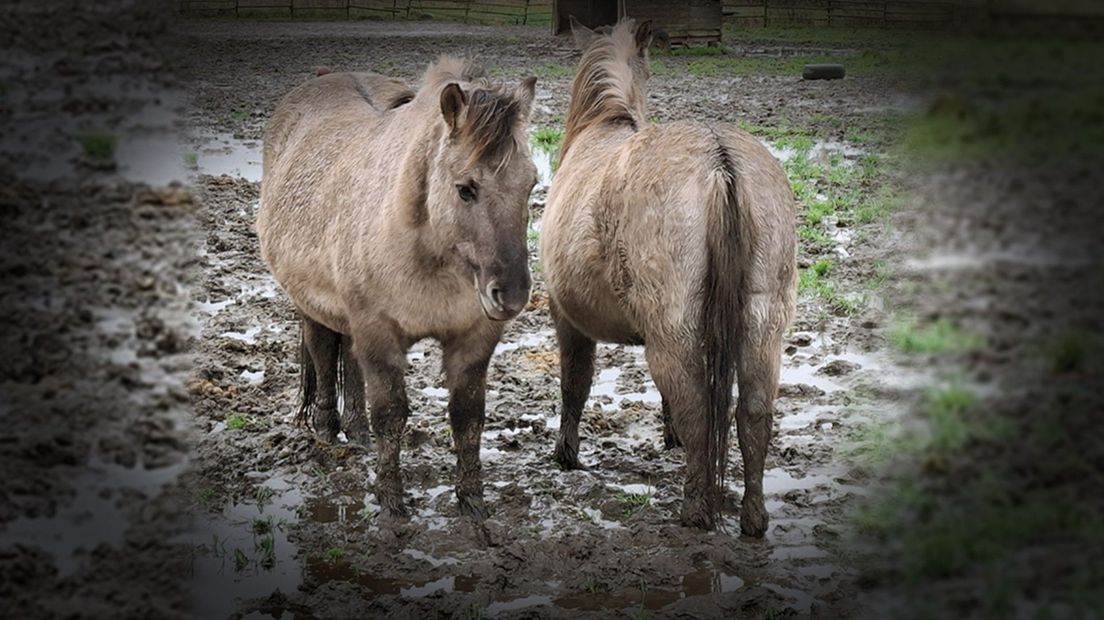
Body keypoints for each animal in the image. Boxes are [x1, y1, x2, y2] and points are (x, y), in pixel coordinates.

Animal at [257, 58, 539, 521]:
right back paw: (326, 429)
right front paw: (392, 503)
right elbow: (390, 415)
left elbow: (468, 417)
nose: (510, 295)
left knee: (348, 359)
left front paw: (473, 501)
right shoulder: (380, 334)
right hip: (310, 304)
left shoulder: (473, 338)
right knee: (323, 351)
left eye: (531, 183)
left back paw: (355, 430)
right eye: (465, 188)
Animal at [540, 18, 796, 536]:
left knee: (698, 407)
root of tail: (718, 159)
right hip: (760, 327)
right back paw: (753, 516)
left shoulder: (567, 317)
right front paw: (669, 435)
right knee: (754, 414)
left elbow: (574, 382)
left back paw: (696, 509)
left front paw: (566, 453)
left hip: (672, 331)